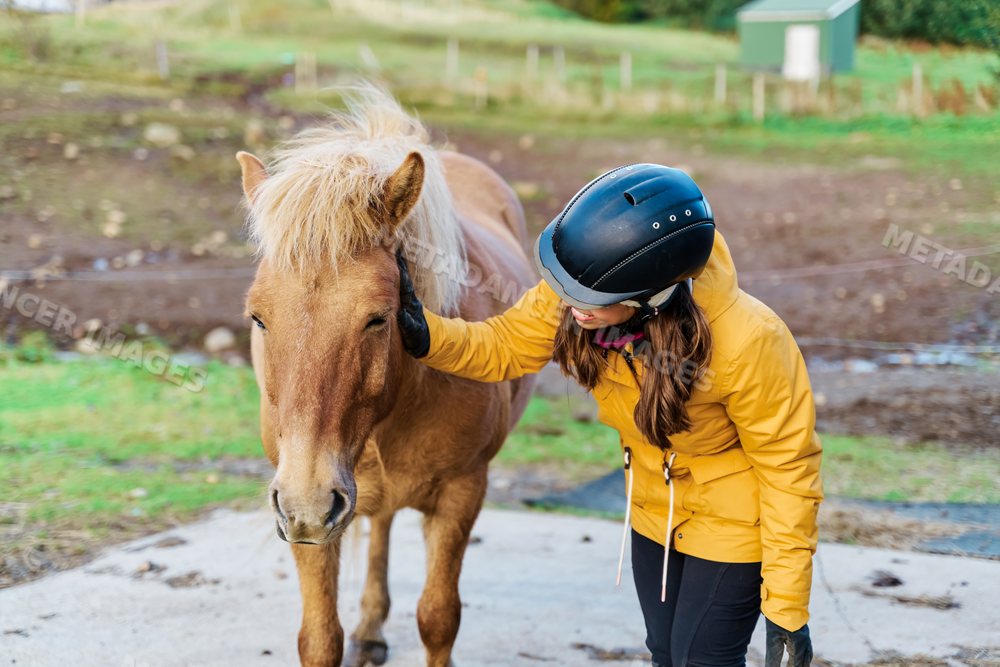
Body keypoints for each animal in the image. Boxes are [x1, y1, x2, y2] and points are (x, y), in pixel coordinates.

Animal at [237, 86, 537, 667]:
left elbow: (438, 619)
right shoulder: (307, 517)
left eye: (378, 318)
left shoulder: (461, 493)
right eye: (258, 318)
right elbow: (319, 638)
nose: (308, 500)